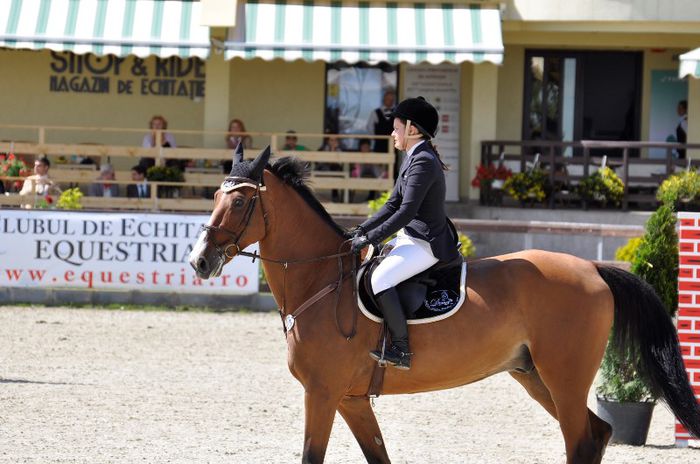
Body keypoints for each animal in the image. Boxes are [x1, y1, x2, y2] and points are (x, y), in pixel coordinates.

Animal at [190, 148, 700, 464]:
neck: (321, 281)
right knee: (595, 435)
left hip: (565, 378)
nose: (200, 260)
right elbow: (378, 455)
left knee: (581, 440)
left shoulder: (322, 393)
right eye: (214, 195)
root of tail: (593, 269)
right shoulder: (351, 399)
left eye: (241, 203)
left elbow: (311, 456)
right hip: (536, 377)